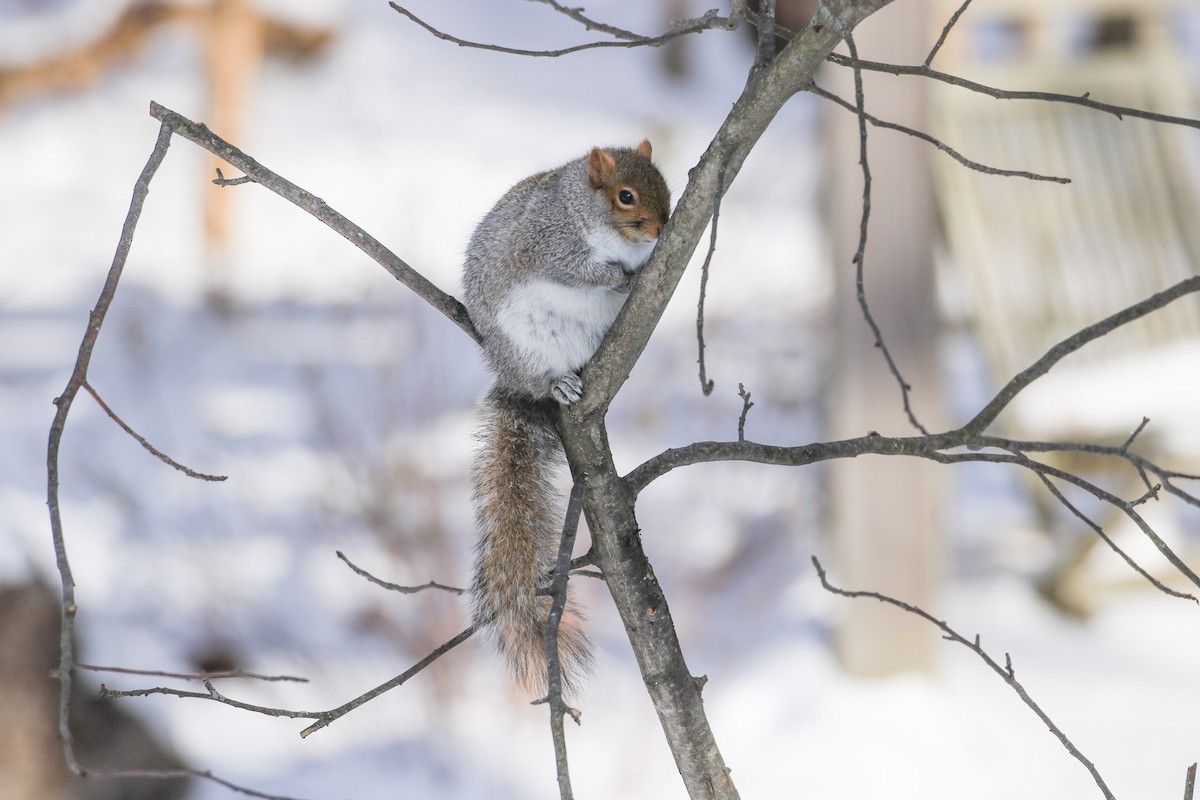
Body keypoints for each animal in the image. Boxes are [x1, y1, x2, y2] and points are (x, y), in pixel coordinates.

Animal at [462, 140, 671, 695]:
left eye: (666, 187)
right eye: (625, 196)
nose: (661, 228)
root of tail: (513, 375)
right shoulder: (547, 243)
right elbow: (575, 269)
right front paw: (616, 276)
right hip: (525, 347)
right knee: (542, 375)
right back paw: (558, 383)